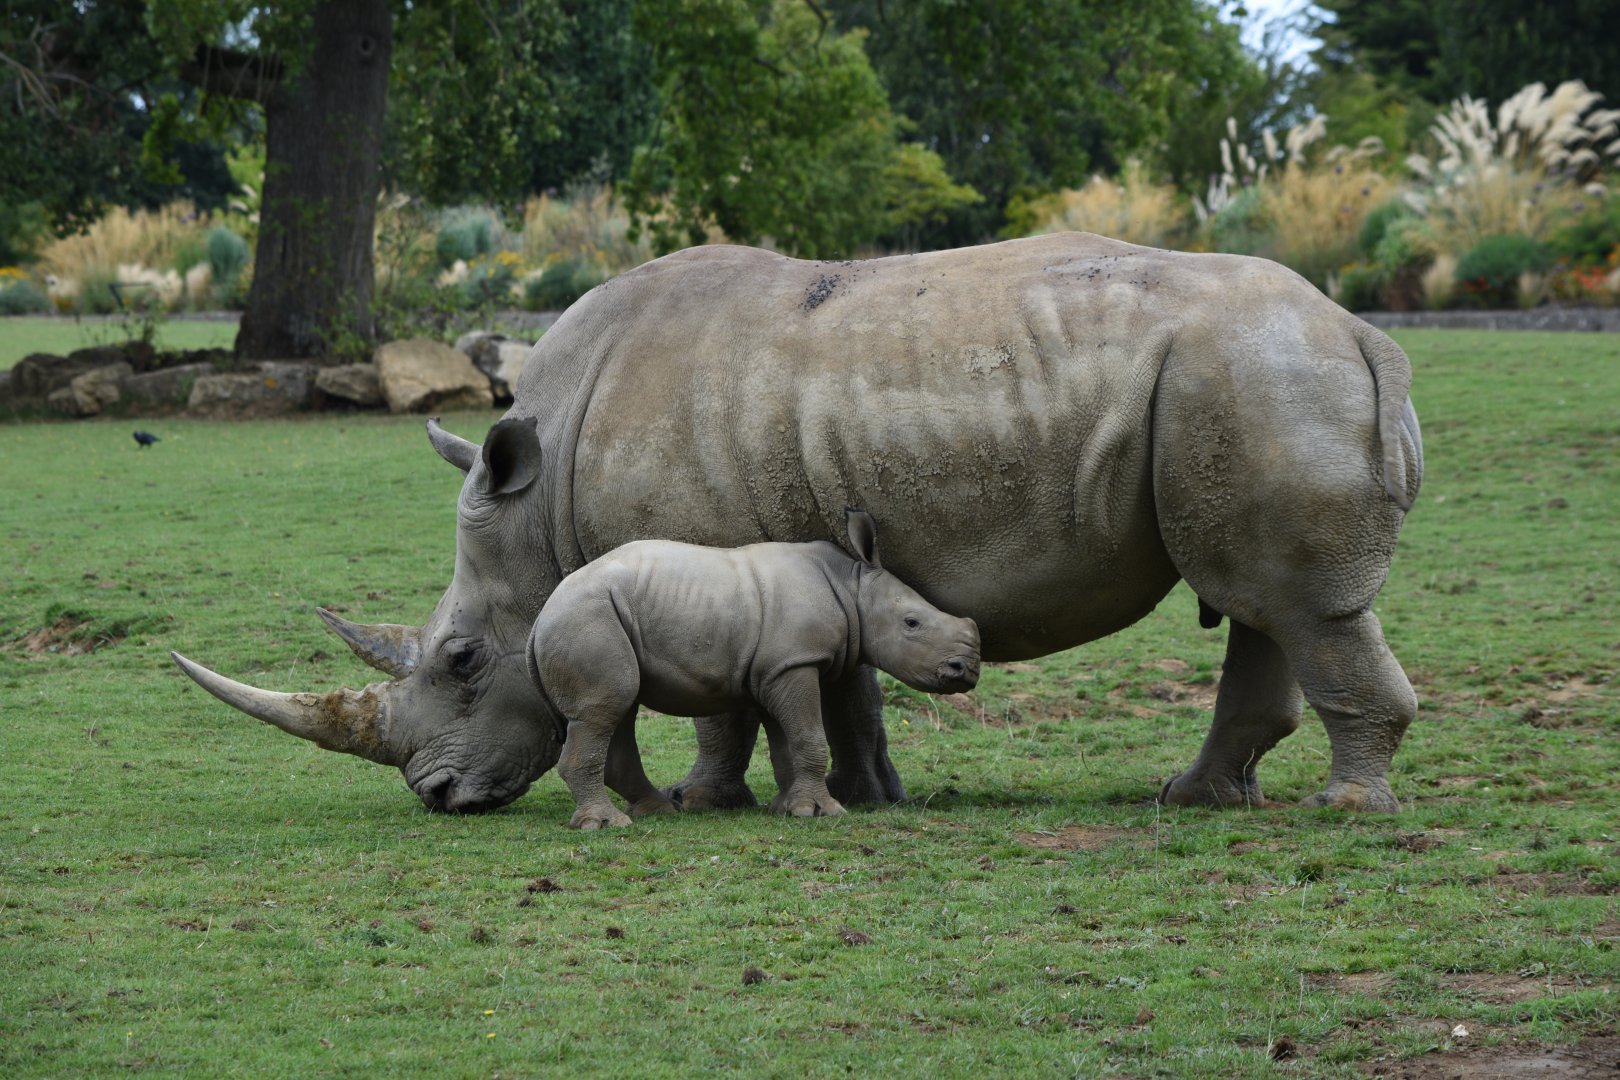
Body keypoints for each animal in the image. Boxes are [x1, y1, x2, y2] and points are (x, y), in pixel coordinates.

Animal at [535, 509, 980, 829]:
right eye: (912, 623)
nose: (967, 670)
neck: (852, 588)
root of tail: (540, 619)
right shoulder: (795, 662)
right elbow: (809, 736)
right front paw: (824, 811)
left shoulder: (774, 669)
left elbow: (786, 742)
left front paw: (790, 808)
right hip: (587, 619)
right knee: (605, 709)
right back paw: (607, 825)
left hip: (596, 619)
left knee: (617, 709)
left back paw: (658, 811)